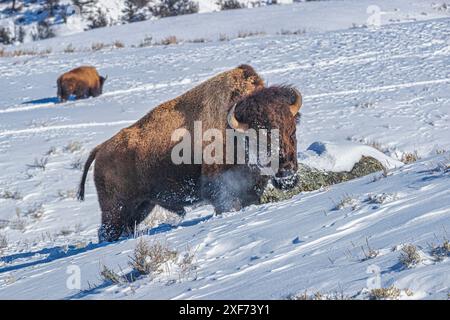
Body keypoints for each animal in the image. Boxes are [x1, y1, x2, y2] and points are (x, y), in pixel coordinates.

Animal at [76, 63, 302, 241]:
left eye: (292, 131)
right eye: (259, 139)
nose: (287, 173)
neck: (234, 130)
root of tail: (100, 149)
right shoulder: (222, 193)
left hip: (141, 206)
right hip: (116, 209)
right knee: (107, 232)